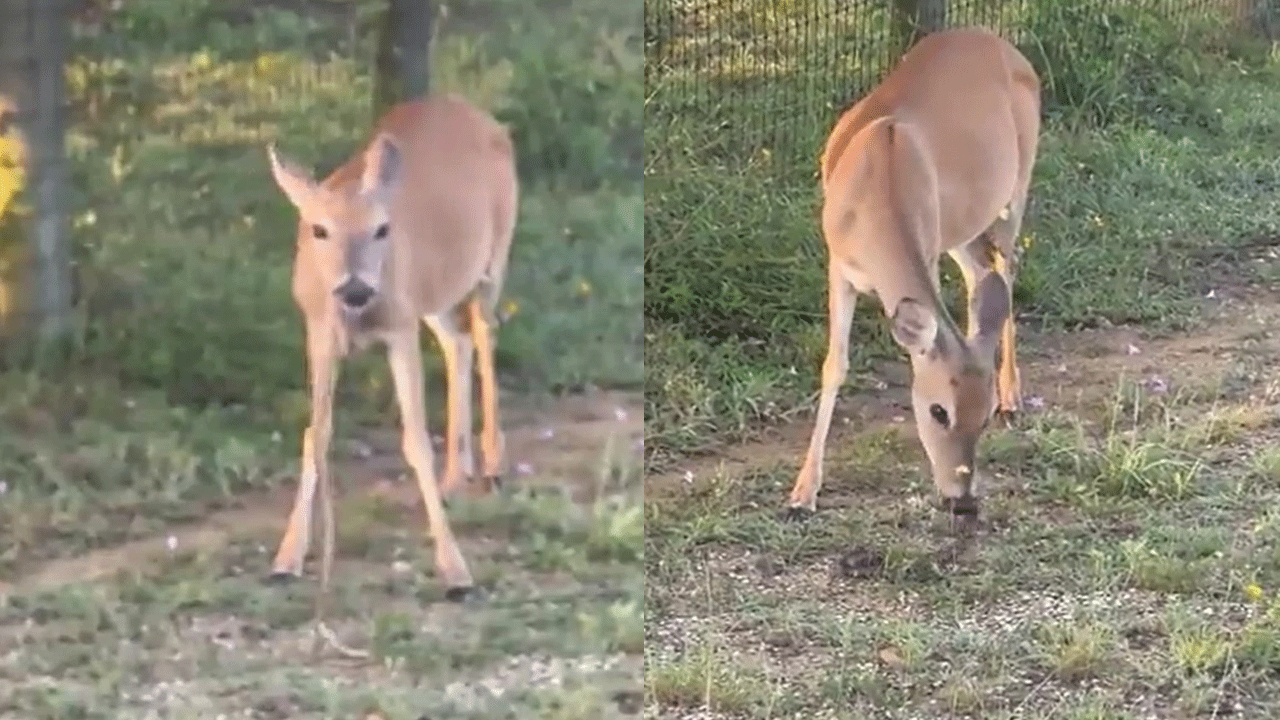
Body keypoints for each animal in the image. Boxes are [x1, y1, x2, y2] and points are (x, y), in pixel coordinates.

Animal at [262, 90, 517, 604]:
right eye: (319, 229)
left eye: (382, 229)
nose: (356, 289)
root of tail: (475, 112)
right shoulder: (319, 330)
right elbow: (315, 433)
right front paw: (287, 558)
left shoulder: (399, 326)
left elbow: (415, 439)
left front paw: (456, 571)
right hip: (434, 293)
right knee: (457, 341)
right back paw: (455, 477)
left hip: (492, 258)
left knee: (484, 332)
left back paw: (493, 465)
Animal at [783, 28, 1044, 517]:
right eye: (939, 411)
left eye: (981, 418)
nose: (963, 502)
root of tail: (1001, 41)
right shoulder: (838, 265)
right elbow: (834, 365)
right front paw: (802, 494)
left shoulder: (926, 250)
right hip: (962, 226)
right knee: (983, 277)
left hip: (1016, 186)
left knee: (1007, 265)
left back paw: (1013, 396)